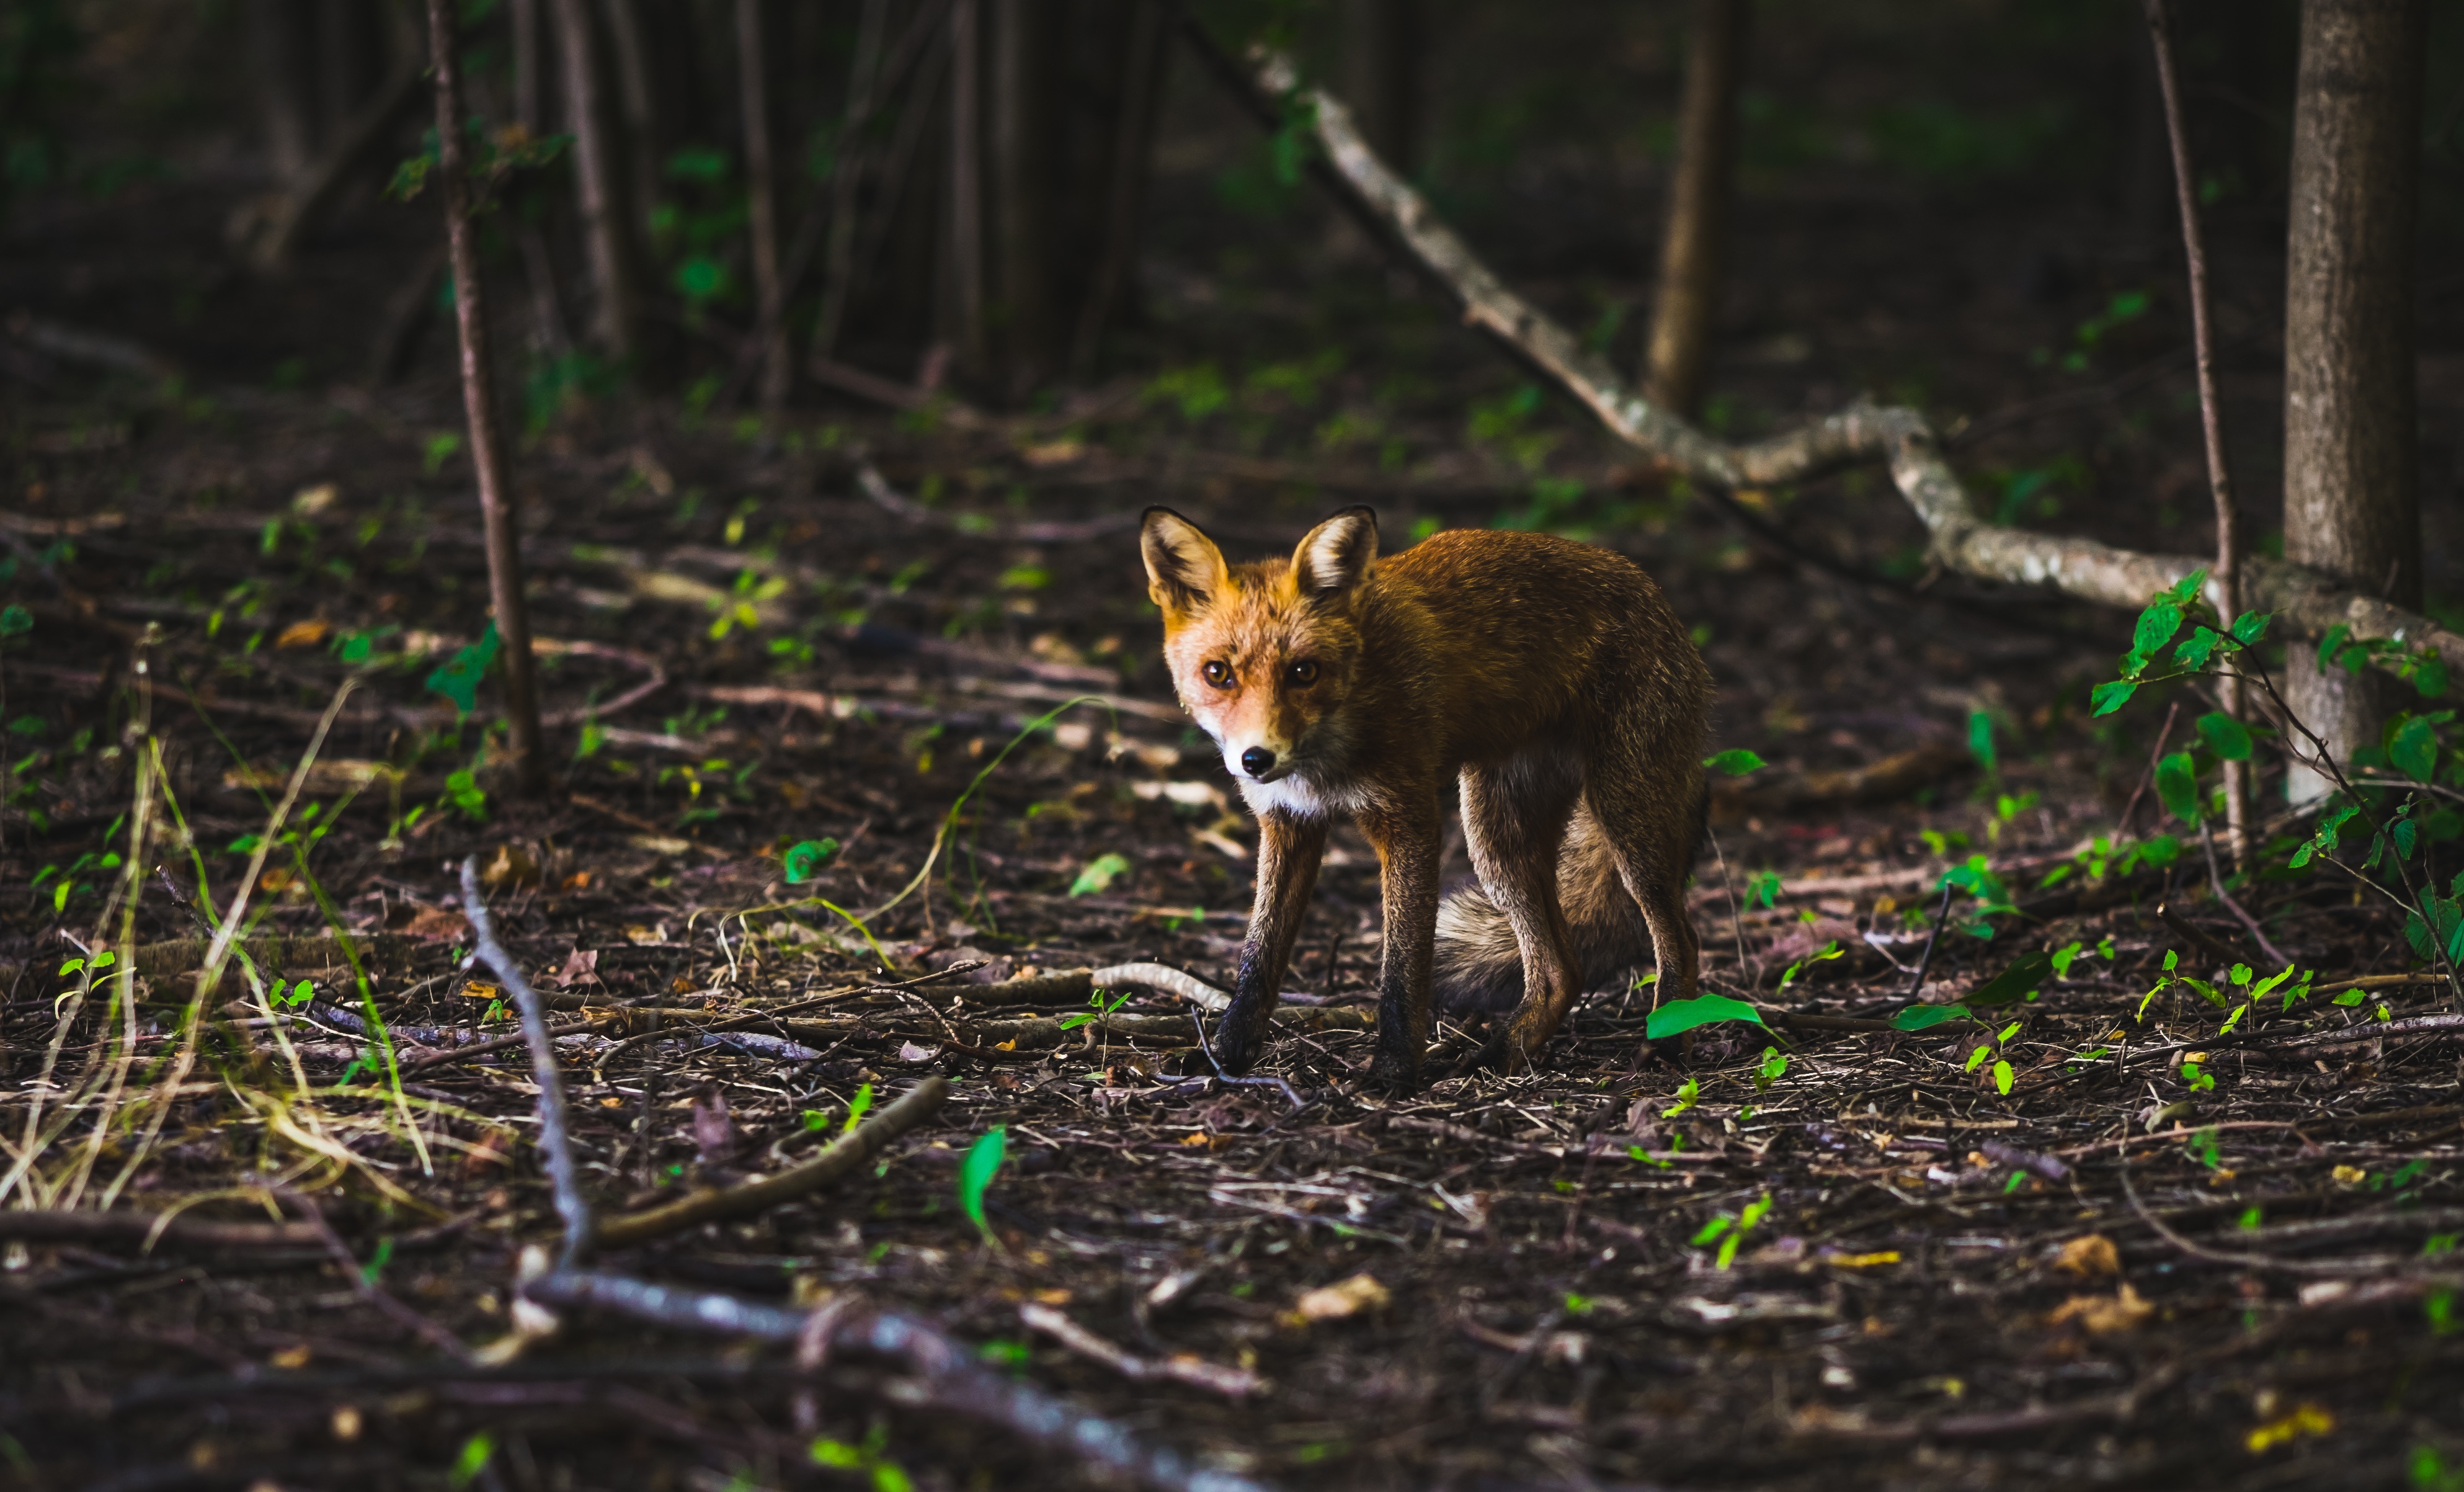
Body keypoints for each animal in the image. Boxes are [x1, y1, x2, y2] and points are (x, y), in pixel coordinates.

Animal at [1138, 505, 1705, 1090]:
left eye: (1303, 671)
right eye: (1217, 673)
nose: (1256, 759)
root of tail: (1650, 588)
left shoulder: (1407, 820)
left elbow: (1402, 971)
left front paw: (1390, 1071)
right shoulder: (1288, 824)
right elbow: (1257, 958)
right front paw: (1224, 1057)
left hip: (1624, 821)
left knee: (1682, 940)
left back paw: (1665, 1046)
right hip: (1498, 842)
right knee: (1559, 972)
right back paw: (1500, 1055)